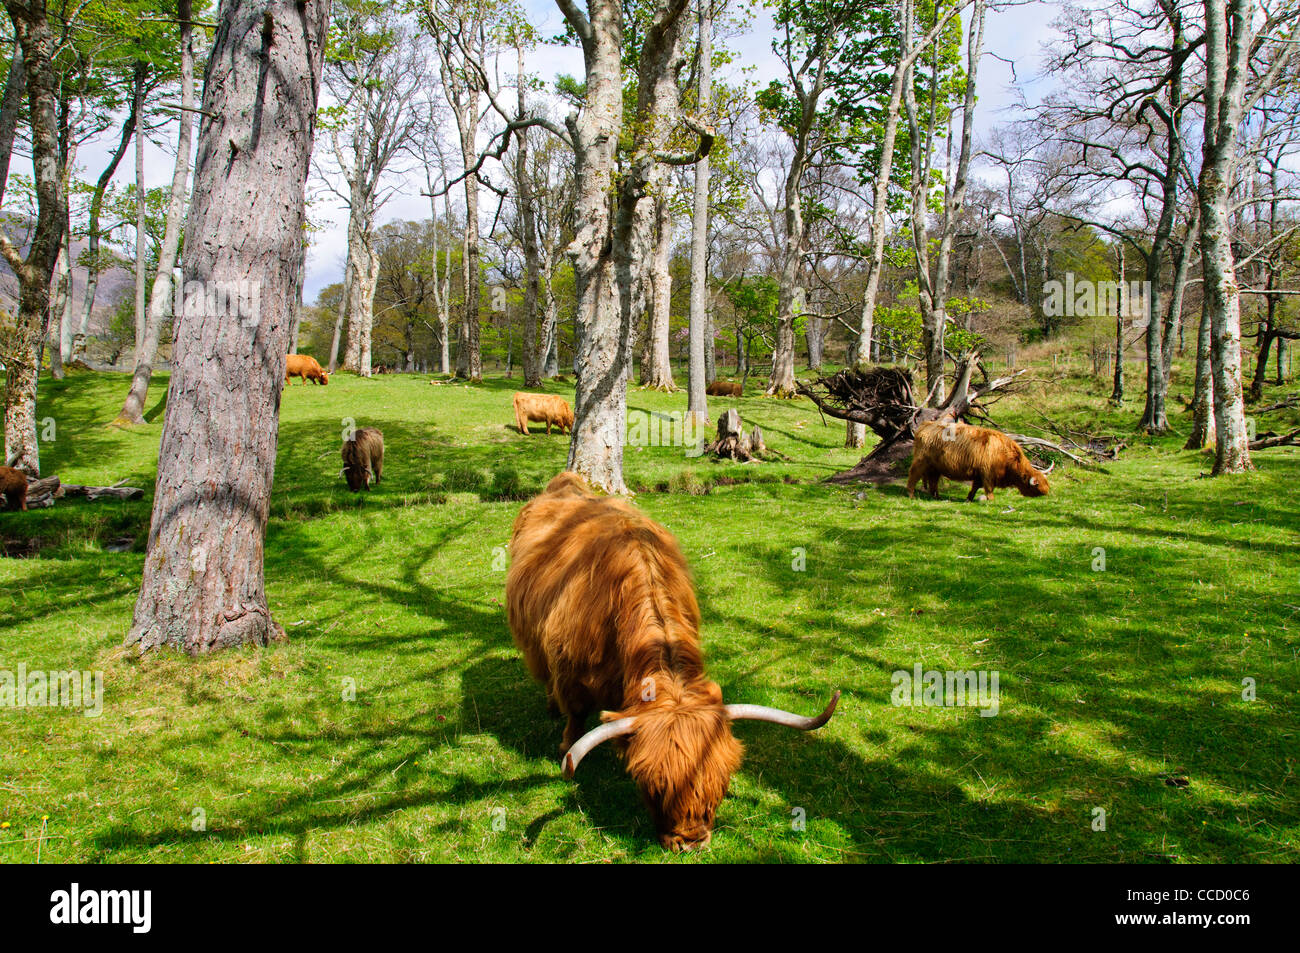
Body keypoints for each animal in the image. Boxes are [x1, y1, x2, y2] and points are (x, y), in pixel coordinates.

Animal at [506, 472, 839, 851]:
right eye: (653, 787)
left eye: (722, 781)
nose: (691, 841)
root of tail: (566, 481)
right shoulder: (569, 670)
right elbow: (575, 714)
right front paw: (564, 744)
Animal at [906, 419, 1053, 502]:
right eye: (1037, 487)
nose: (1046, 493)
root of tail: (926, 425)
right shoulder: (987, 473)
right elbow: (988, 488)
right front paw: (991, 500)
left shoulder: (979, 474)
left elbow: (975, 487)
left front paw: (969, 498)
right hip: (921, 462)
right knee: (913, 475)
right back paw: (911, 495)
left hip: (935, 467)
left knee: (933, 482)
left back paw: (936, 496)